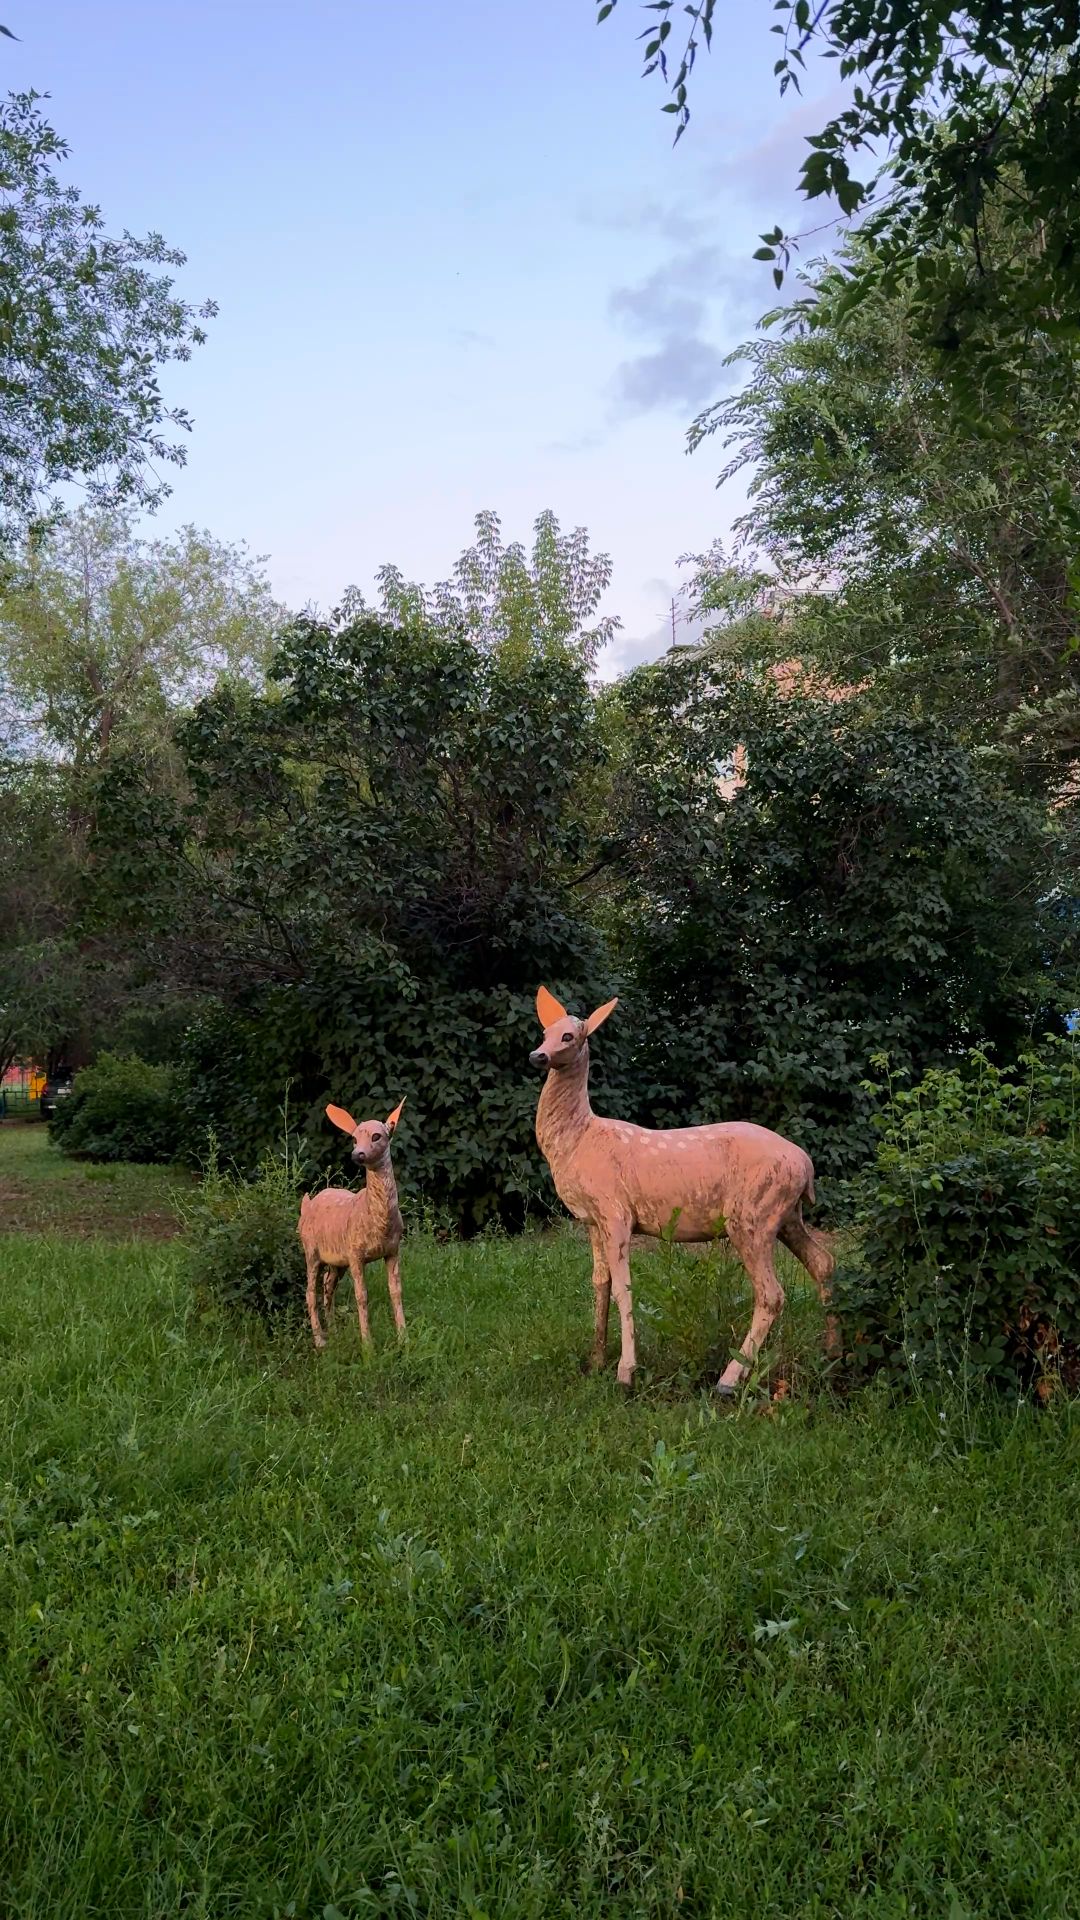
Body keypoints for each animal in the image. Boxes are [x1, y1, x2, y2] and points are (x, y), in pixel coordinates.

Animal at [297, 1098, 407, 1352]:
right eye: (354, 1139)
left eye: (377, 1136)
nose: (358, 1154)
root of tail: (306, 1205)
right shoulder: (355, 1252)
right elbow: (361, 1295)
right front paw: (368, 1347)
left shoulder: (393, 1249)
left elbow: (395, 1290)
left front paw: (404, 1339)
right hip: (311, 1250)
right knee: (310, 1292)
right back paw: (320, 1341)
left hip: (337, 1260)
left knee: (328, 1287)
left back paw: (334, 1332)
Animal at [529, 987, 836, 1394]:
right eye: (544, 1031)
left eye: (568, 1036)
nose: (537, 1055)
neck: (579, 1139)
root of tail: (806, 1164)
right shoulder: (592, 1220)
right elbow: (599, 1284)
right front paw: (595, 1363)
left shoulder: (616, 1211)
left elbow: (624, 1288)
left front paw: (625, 1372)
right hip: (785, 1215)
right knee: (823, 1263)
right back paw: (834, 1354)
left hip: (752, 1214)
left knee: (772, 1294)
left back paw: (729, 1380)